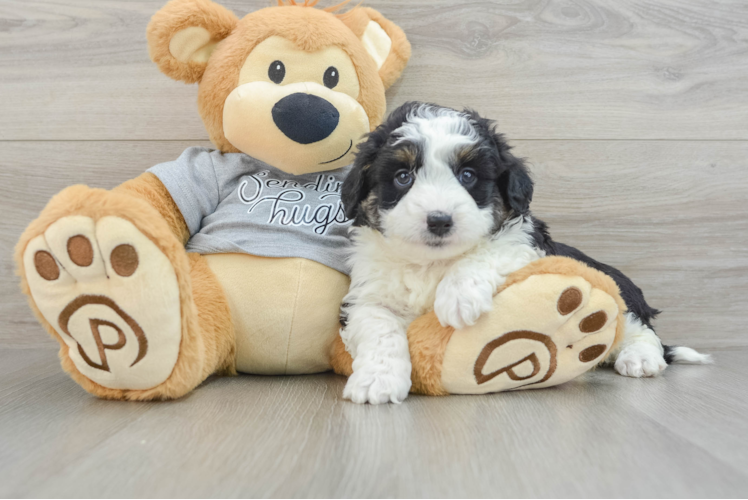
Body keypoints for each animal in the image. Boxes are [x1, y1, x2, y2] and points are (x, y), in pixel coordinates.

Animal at [338, 103, 712, 404]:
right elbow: (379, 328)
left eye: (468, 175)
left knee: (640, 331)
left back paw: (641, 359)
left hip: (620, 292)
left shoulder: (525, 245)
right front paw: (377, 380)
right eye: (403, 176)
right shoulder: (366, 297)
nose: (439, 220)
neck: (433, 263)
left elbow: (492, 249)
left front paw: (459, 296)